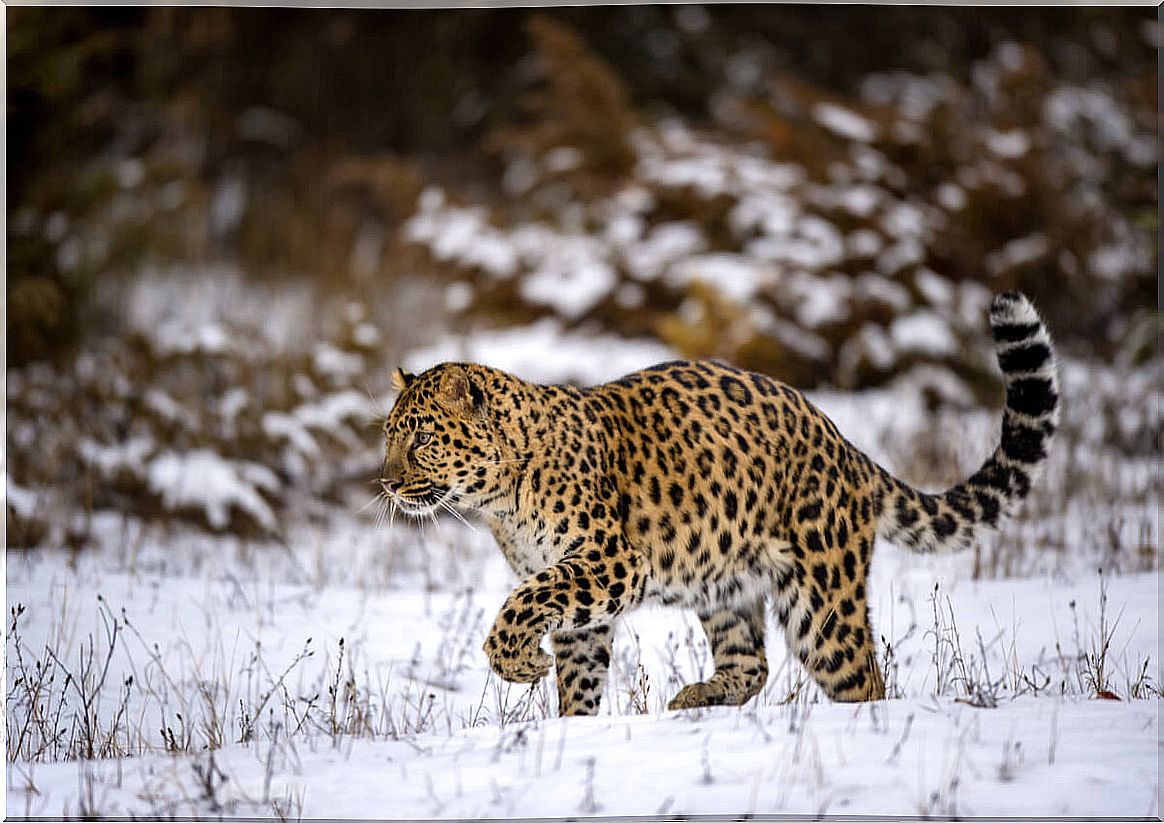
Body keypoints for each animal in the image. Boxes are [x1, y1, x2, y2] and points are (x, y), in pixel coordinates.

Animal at [384, 294, 1066, 712]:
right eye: (388, 435)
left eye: (420, 439)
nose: (387, 482)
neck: (497, 498)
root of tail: (843, 442)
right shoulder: (585, 593)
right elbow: (577, 669)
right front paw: (565, 725)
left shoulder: (610, 560)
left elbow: (523, 604)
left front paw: (518, 663)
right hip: (725, 586)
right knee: (752, 664)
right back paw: (697, 698)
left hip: (823, 602)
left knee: (864, 679)